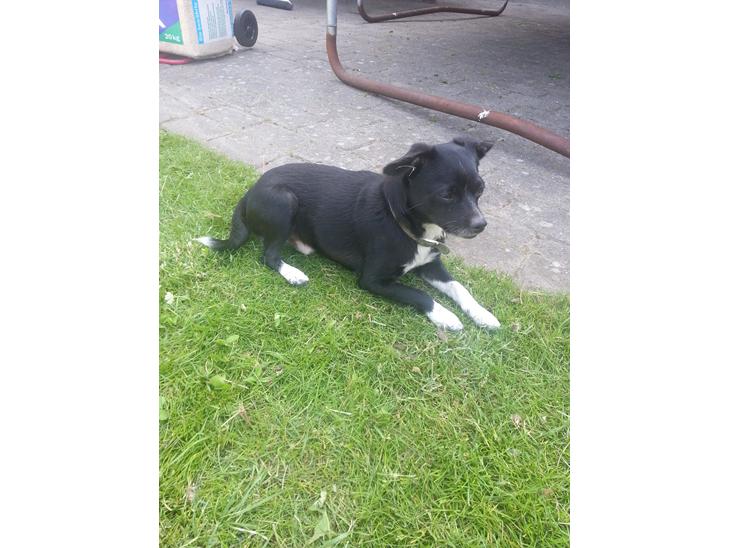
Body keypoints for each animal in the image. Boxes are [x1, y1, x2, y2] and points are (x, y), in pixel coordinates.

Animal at [195, 137, 500, 331]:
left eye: (480, 189)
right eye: (446, 194)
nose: (481, 225)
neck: (400, 219)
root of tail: (250, 191)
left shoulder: (431, 265)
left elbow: (460, 288)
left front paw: (483, 314)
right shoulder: (373, 280)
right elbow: (420, 294)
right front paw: (445, 316)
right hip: (284, 201)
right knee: (268, 256)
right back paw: (293, 273)